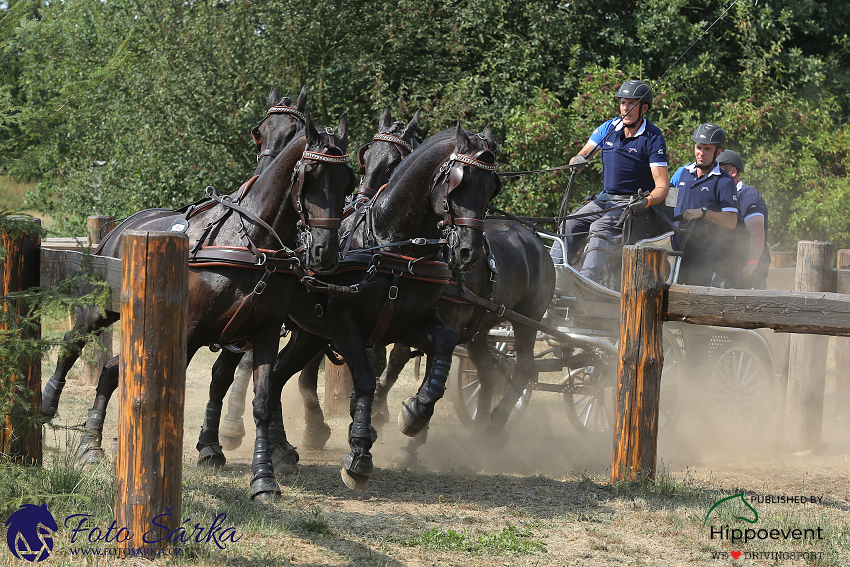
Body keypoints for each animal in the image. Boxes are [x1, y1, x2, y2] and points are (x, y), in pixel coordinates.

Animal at [38, 116, 352, 496]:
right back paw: (49, 405)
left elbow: (262, 401)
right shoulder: (188, 332)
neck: (250, 242)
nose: (325, 251)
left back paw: (91, 443)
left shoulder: (263, 331)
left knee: (111, 369)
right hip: (103, 309)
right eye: (310, 175)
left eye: (347, 181)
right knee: (73, 343)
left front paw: (263, 478)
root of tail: (123, 227)